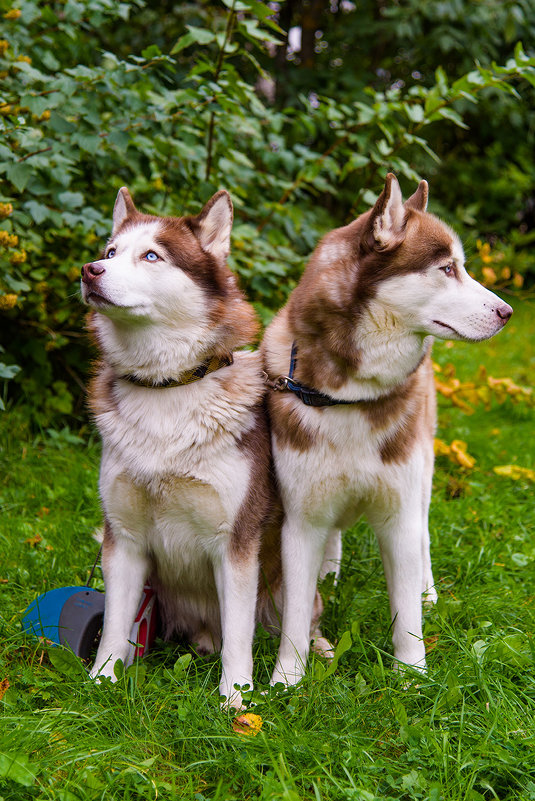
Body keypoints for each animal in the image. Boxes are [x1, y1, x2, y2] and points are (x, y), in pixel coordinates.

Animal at [81, 188, 288, 708]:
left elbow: (239, 637)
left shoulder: (235, 545)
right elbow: (114, 624)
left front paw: (236, 700)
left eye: (151, 256)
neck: (166, 389)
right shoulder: (123, 539)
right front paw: (101, 683)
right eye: (110, 251)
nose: (88, 269)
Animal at [264, 172, 516, 684]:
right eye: (446, 268)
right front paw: (285, 681)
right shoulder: (299, 519)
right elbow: (296, 611)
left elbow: (406, 614)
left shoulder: (398, 512)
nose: (507, 313)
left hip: (422, 472)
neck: (349, 396)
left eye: (461, 266)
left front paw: (413, 675)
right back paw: (329, 572)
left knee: (423, 534)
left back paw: (427, 589)